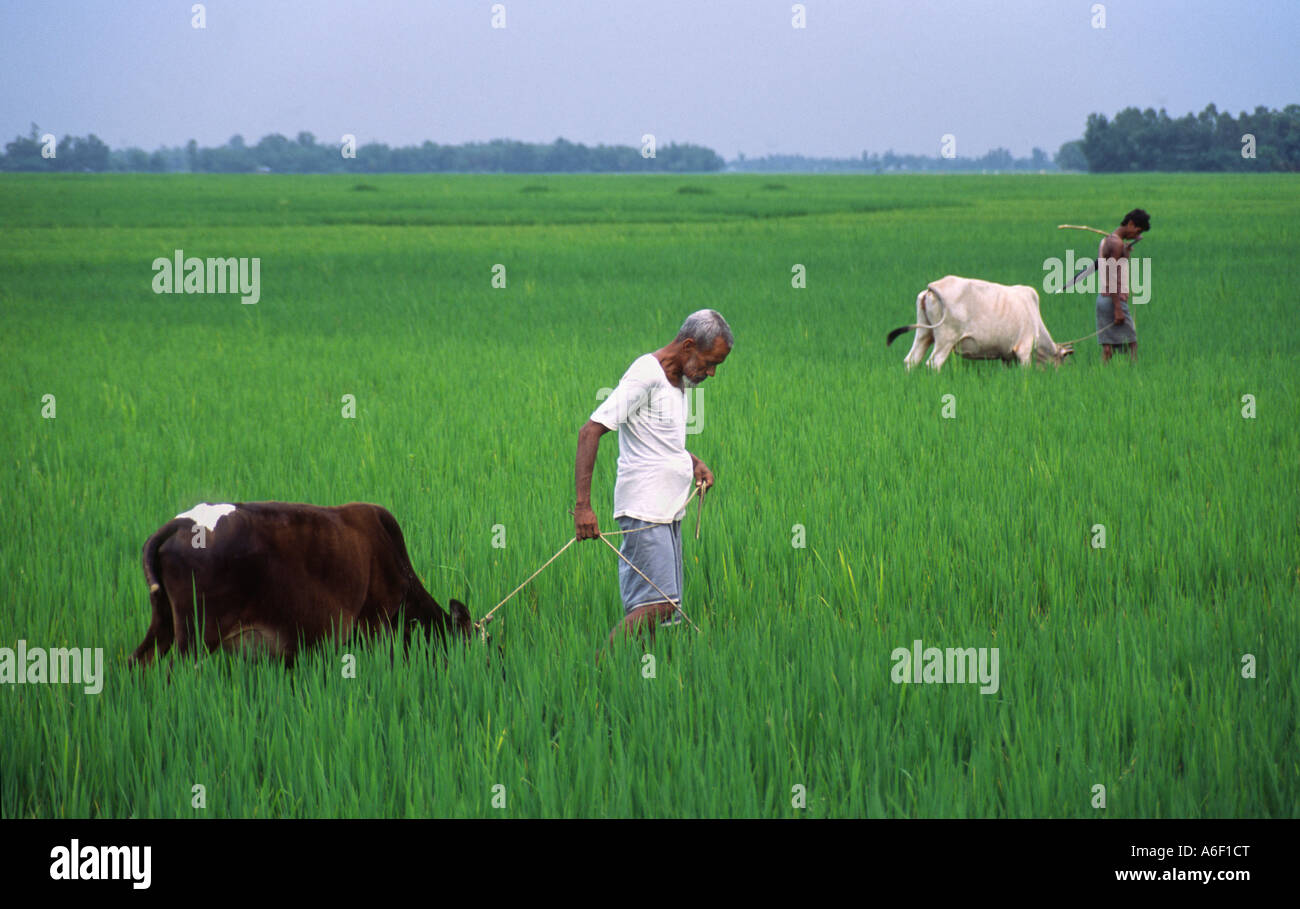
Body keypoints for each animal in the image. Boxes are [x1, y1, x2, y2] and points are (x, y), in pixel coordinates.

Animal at [883, 275, 1076, 371]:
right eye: (1062, 360)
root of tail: (934, 286)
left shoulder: (1006, 356)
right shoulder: (1024, 350)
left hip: (924, 334)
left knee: (911, 360)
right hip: (946, 339)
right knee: (934, 363)